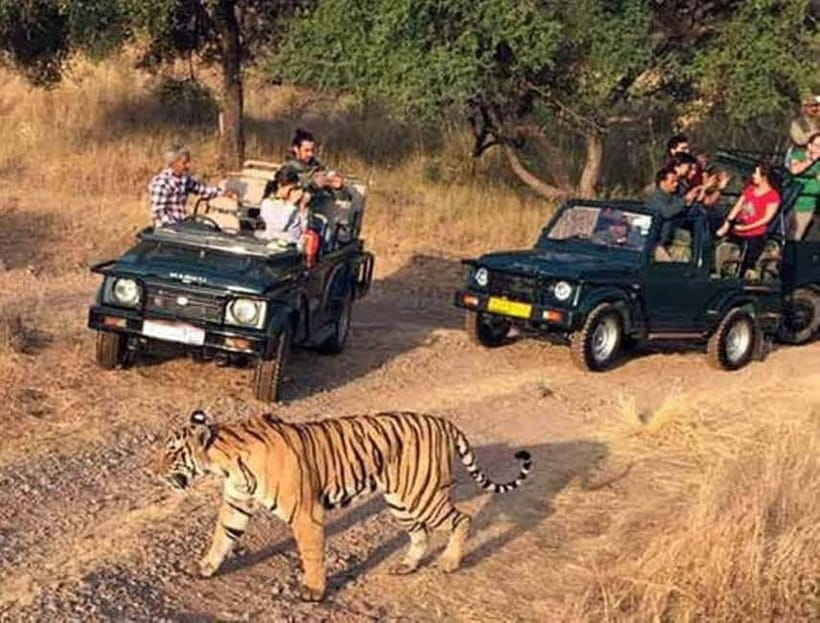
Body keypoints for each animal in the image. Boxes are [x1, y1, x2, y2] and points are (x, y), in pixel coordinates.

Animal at [156, 409, 532, 601]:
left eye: (172, 452)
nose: (155, 471)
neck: (226, 462)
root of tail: (443, 421)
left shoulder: (305, 514)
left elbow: (311, 554)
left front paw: (313, 590)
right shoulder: (237, 503)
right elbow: (222, 537)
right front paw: (205, 568)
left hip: (422, 496)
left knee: (462, 519)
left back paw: (450, 563)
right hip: (401, 502)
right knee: (421, 533)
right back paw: (407, 566)